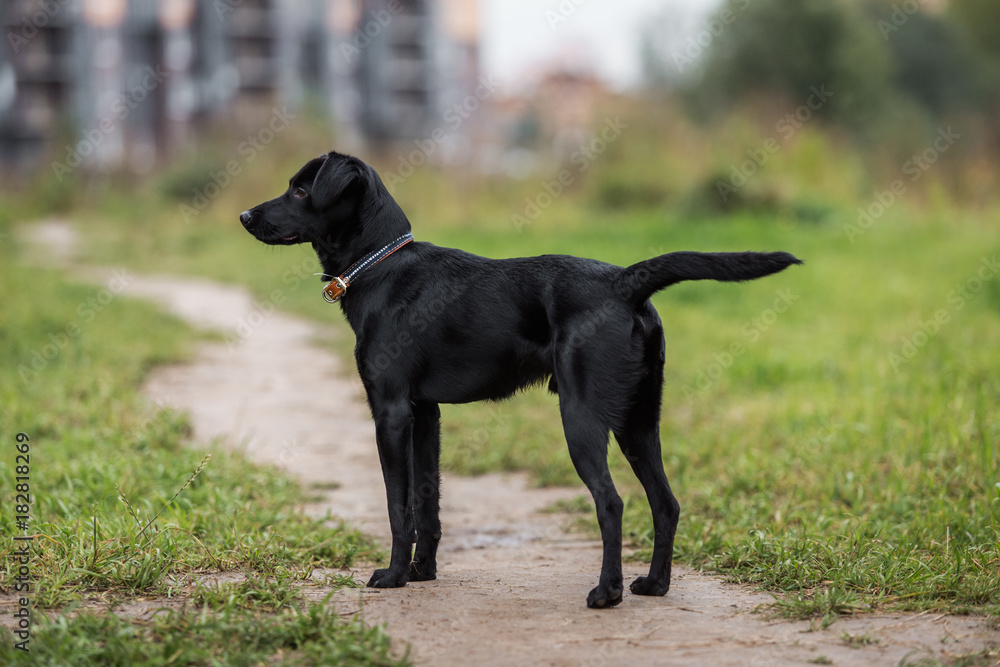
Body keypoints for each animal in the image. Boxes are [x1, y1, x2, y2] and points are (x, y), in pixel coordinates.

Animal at [238, 153, 800, 612]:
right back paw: (654, 585)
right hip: (639, 423)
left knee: (611, 502)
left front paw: (394, 575)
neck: (384, 266)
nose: (244, 216)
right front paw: (422, 573)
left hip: (582, 417)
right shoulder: (426, 415)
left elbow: (399, 506)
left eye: (301, 191)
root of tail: (625, 282)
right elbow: (427, 502)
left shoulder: (391, 412)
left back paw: (608, 592)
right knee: (666, 503)